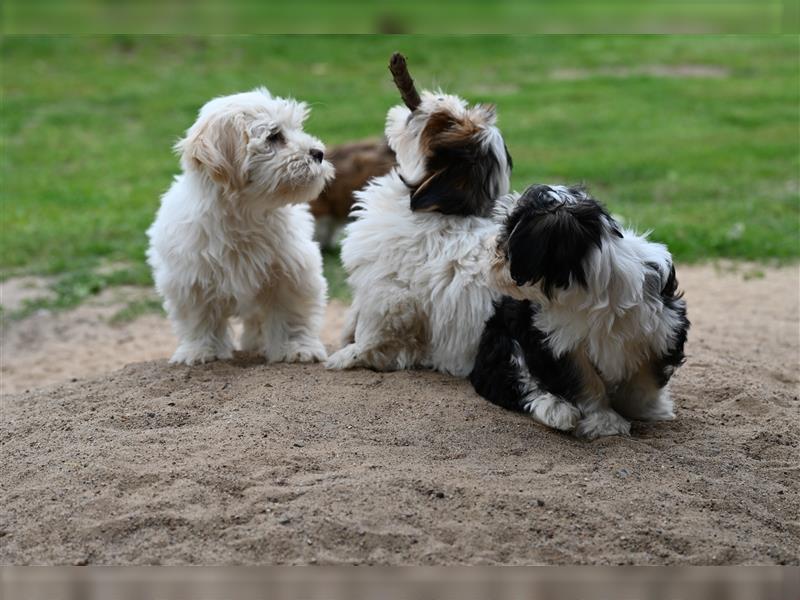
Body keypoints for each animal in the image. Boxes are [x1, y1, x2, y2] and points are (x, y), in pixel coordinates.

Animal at [147, 88, 334, 366]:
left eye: (297, 128)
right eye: (274, 136)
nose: (318, 153)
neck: (245, 214)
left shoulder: (293, 272)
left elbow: (291, 315)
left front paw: (297, 348)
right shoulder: (190, 278)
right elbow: (199, 319)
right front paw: (201, 351)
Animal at [324, 90, 512, 376]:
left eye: (445, 123)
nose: (439, 98)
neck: (438, 211)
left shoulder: (389, 294)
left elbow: (374, 329)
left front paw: (351, 354)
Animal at [472, 184, 692, 440]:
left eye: (508, 233)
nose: (486, 248)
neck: (594, 290)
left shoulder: (662, 328)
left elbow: (645, 379)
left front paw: (646, 410)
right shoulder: (559, 343)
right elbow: (585, 382)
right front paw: (605, 422)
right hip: (503, 343)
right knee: (520, 382)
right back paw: (557, 410)